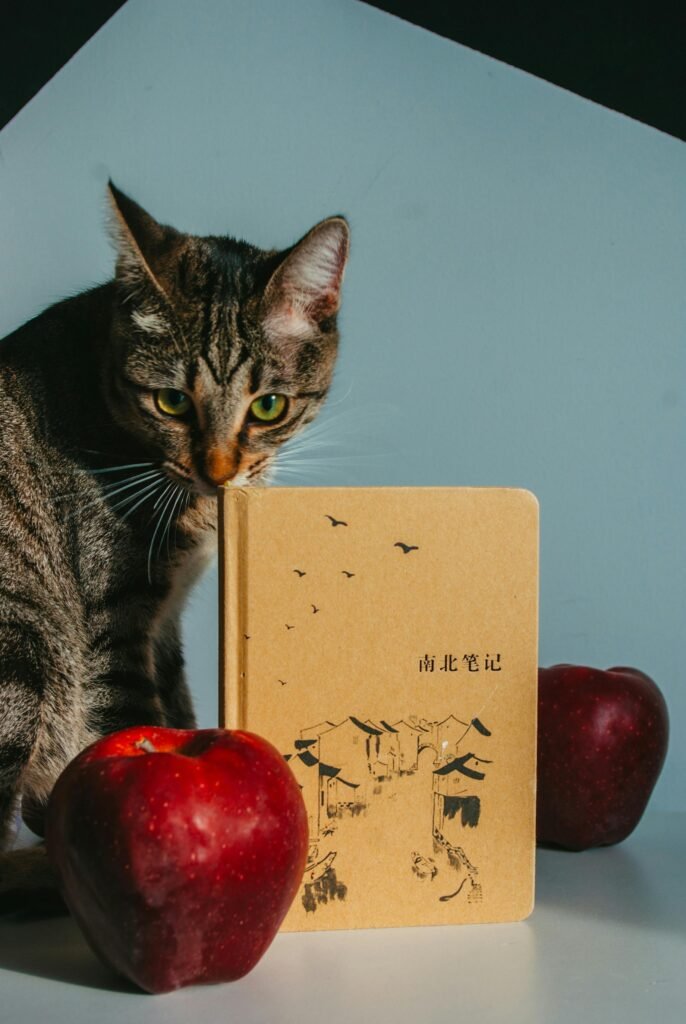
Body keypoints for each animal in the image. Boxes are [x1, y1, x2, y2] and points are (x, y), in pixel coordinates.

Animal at [0, 180, 352, 909]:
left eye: (269, 406)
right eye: (170, 402)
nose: (218, 470)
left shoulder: (166, 621)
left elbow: (182, 707)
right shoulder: (114, 620)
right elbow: (132, 720)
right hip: (22, 645)